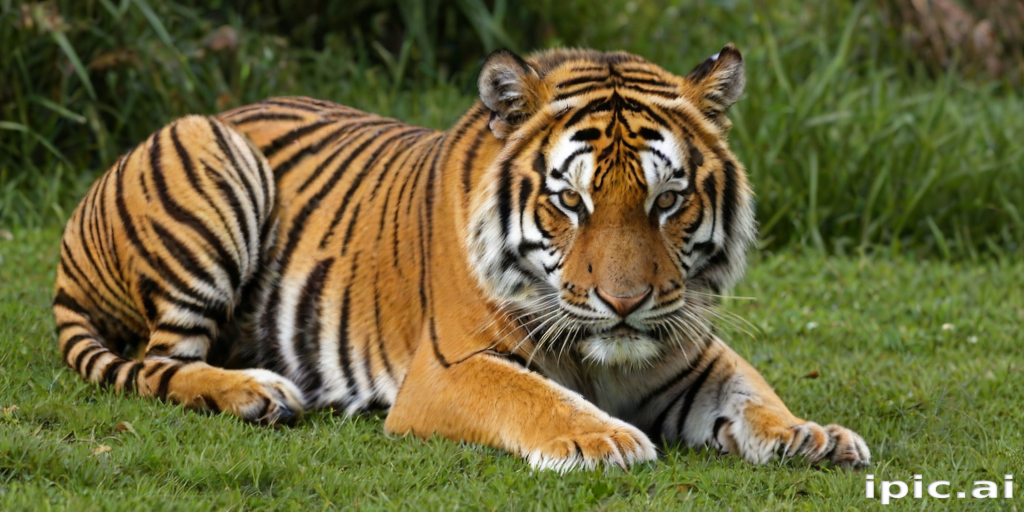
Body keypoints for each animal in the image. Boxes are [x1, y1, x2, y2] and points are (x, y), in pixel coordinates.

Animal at [53, 44, 870, 471]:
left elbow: (753, 394)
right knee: (162, 361)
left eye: (667, 201)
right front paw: (604, 436)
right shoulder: (449, 368)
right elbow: (533, 395)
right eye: (570, 202)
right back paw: (257, 393)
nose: (625, 304)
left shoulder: (691, 352)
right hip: (213, 159)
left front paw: (811, 434)